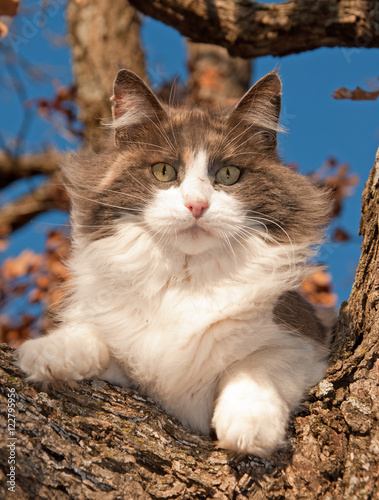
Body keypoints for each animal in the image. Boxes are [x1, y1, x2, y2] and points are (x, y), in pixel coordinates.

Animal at [17, 69, 336, 458]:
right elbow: (92, 336)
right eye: (164, 172)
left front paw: (249, 430)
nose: (196, 205)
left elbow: (256, 367)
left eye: (228, 175)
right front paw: (46, 354)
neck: (185, 281)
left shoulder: (306, 340)